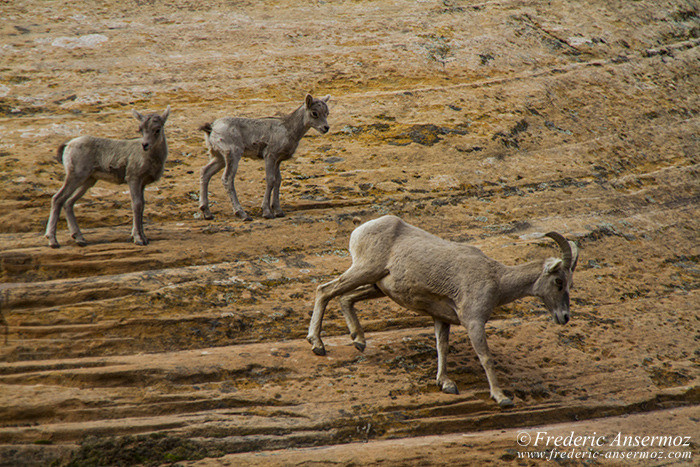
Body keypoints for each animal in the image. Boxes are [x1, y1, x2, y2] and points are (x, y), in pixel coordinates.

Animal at [45, 106, 171, 249]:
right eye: (141, 129)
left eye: (157, 129)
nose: (145, 145)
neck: (150, 158)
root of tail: (68, 146)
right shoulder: (133, 179)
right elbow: (137, 205)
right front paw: (138, 239)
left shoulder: (142, 183)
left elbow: (143, 205)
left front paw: (144, 237)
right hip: (75, 176)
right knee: (57, 199)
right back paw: (53, 241)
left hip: (88, 181)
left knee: (68, 202)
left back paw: (80, 239)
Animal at [197, 94, 328, 222]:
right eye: (314, 113)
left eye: (327, 113)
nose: (326, 128)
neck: (289, 130)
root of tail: (211, 128)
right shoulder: (269, 156)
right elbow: (270, 180)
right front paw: (267, 212)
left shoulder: (277, 160)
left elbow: (278, 180)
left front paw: (278, 211)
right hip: (233, 154)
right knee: (227, 179)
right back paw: (242, 214)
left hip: (219, 157)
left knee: (205, 172)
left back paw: (207, 213)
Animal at [308, 214, 580, 408]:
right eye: (559, 282)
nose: (564, 317)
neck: (497, 281)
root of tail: (360, 229)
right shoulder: (474, 322)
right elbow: (486, 358)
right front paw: (502, 398)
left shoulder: (441, 319)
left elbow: (442, 348)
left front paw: (446, 384)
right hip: (365, 271)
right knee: (325, 290)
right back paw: (317, 344)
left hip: (376, 285)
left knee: (345, 298)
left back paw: (359, 341)